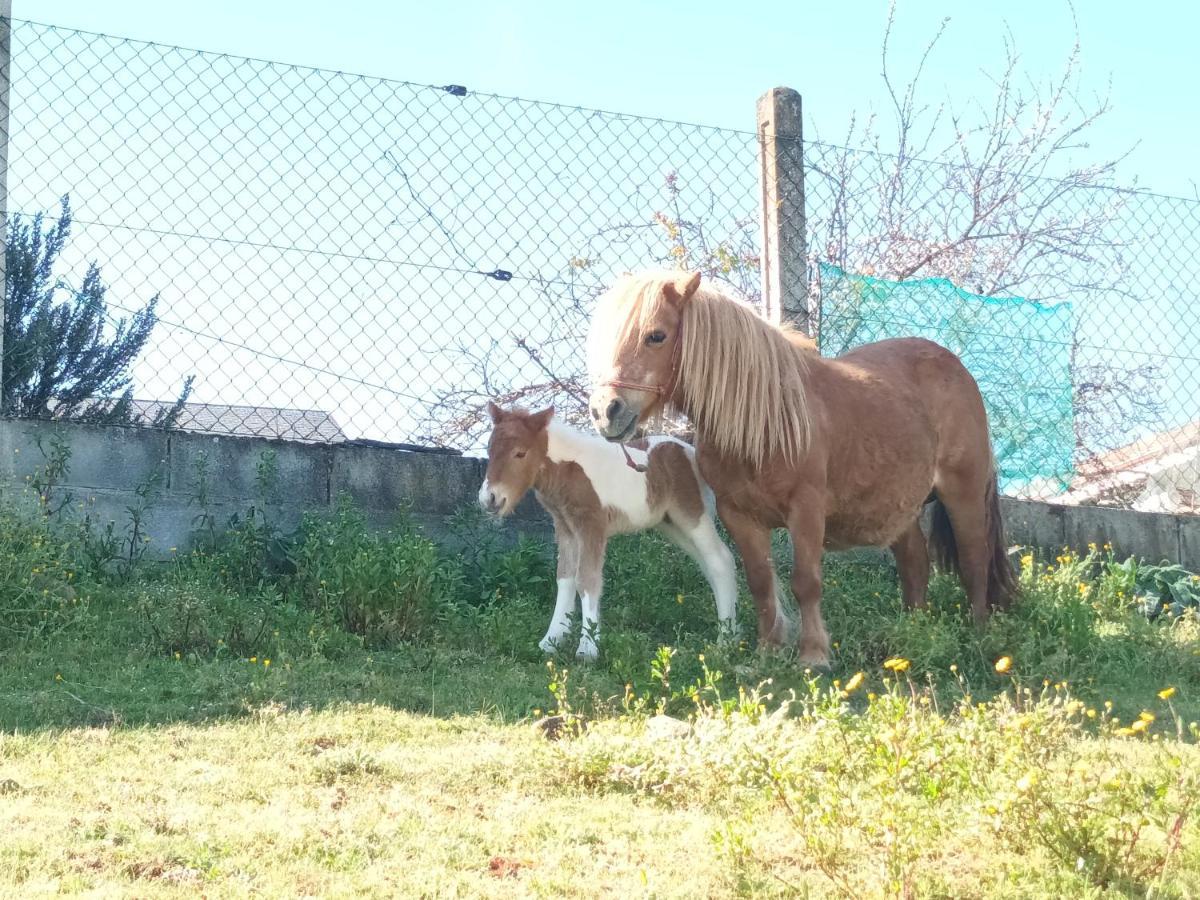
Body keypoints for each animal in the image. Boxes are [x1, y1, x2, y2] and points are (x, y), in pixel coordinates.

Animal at [472, 405, 734, 657]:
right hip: (672, 525)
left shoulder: (591, 525)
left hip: (692, 515)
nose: (489, 499)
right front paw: (552, 641)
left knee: (721, 560)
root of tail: (689, 451)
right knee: (709, 564)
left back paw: (725, 640)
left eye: (520, 453)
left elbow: (587, 580)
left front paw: (587, 648)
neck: (569, 469)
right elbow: (565, 578)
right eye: (489, 450)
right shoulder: (566, 528)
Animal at [585, 271, 1017, 667]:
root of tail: (954, 365)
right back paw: (912, 633)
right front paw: (767, 652)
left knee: (974, 562)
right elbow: (760, 582)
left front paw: (813, 656)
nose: (606, 411)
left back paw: (980, 637)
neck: (764, 420)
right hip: (899, 507)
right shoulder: (738, 514)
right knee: (915, 564)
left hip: (963, 493)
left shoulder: (806, 511)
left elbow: (805, 583)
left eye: (656, 336)